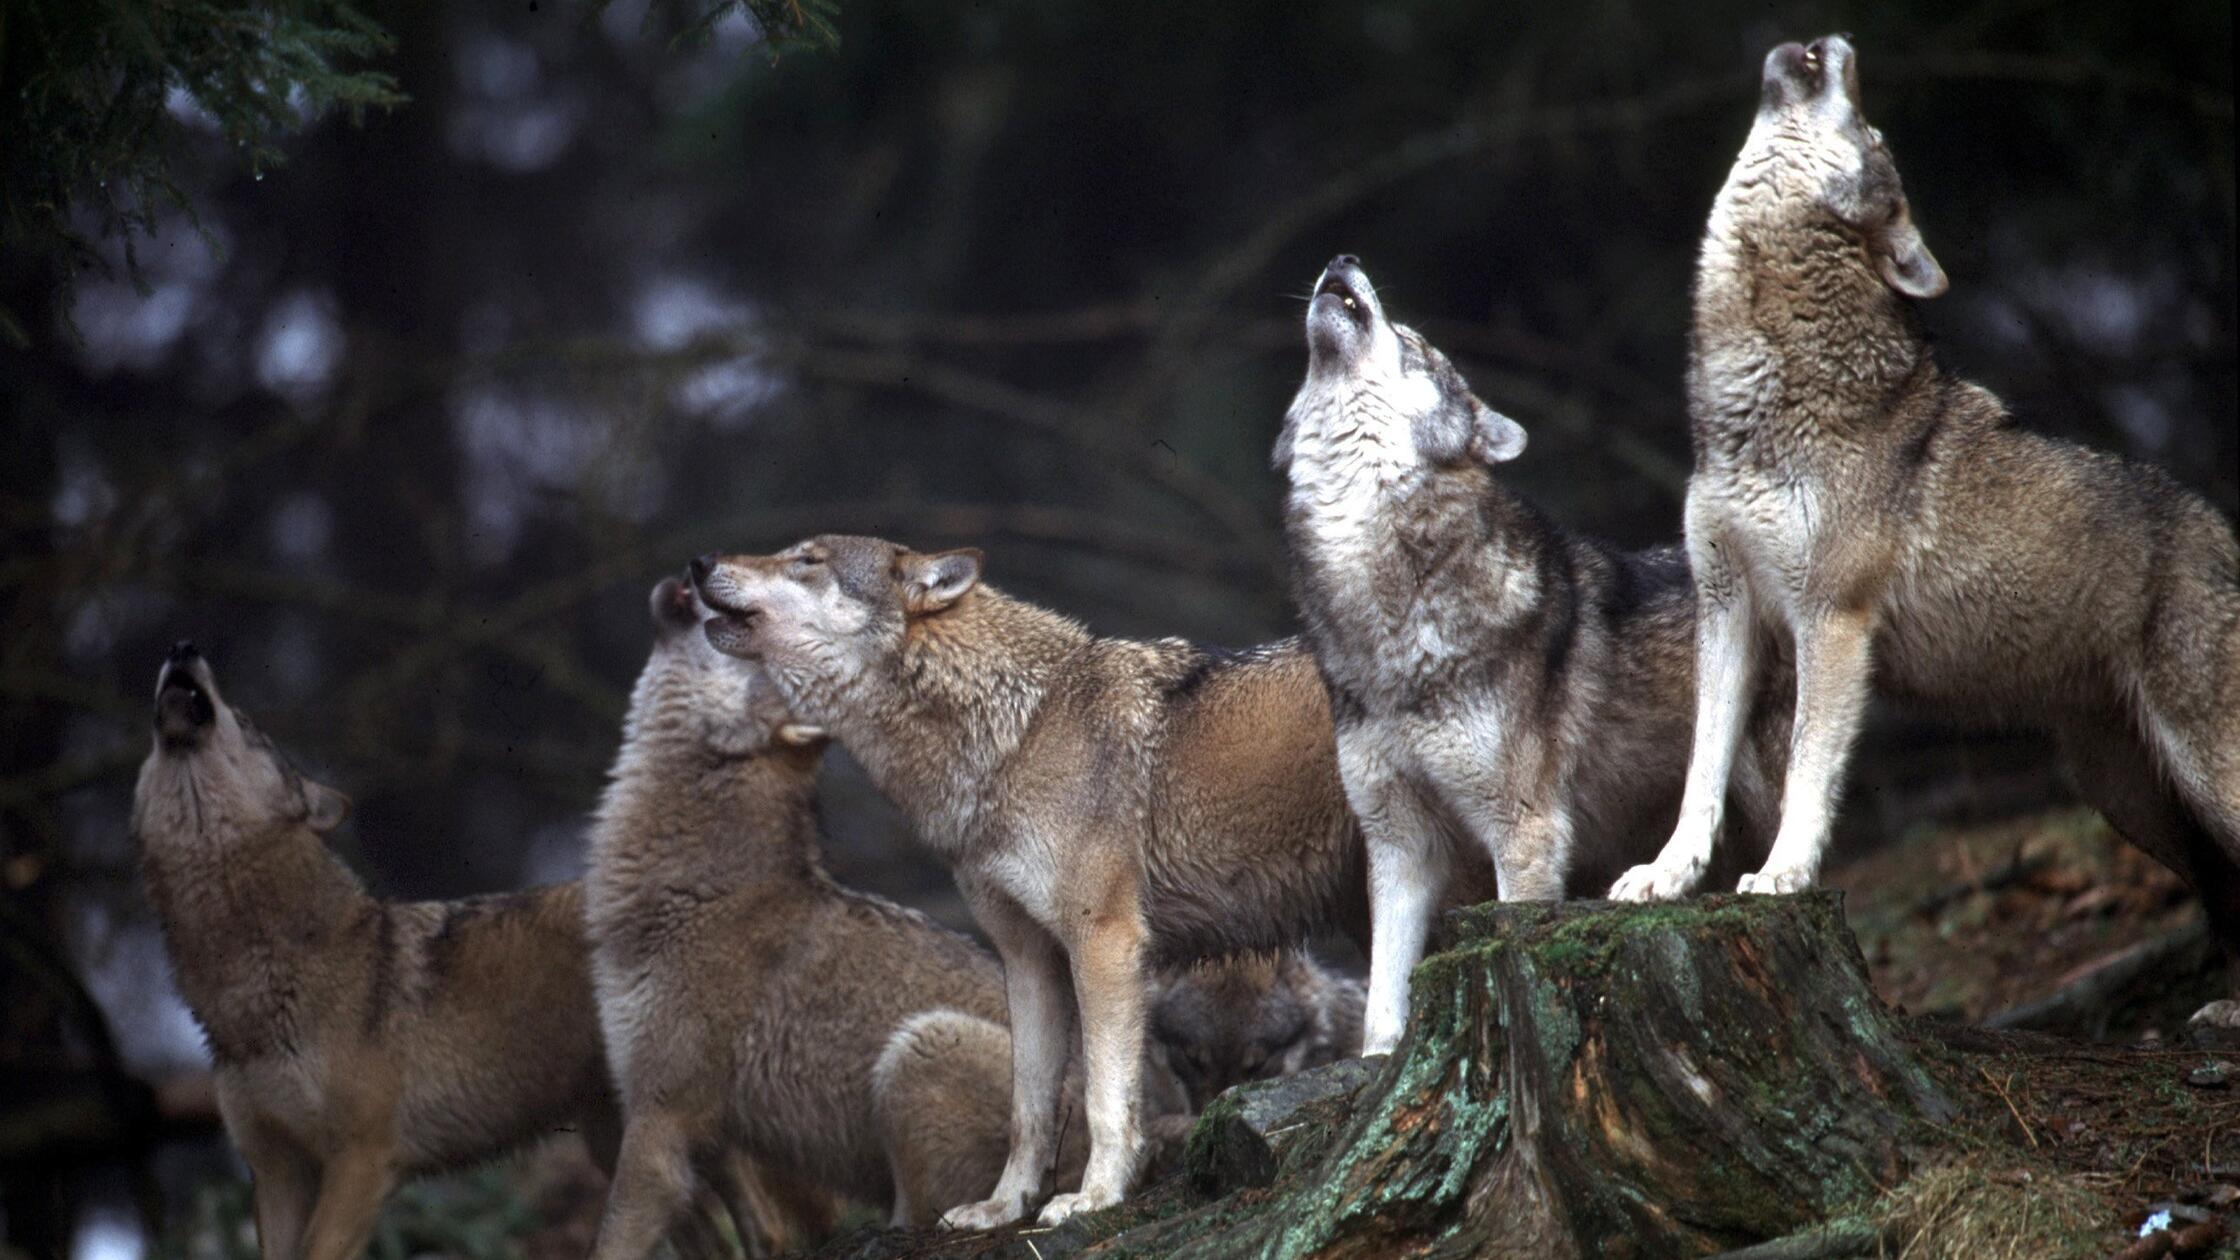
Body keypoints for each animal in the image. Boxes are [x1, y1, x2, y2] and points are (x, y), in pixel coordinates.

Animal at [127, 643, 798, 1260]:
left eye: (244, 722)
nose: (182, 647)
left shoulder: (363, 1161)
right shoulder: (276, 1174)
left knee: (767, 1227)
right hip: (616, 1144)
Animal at [583, 577, 1186, 1254]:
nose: (688, 580)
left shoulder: (659, 1119)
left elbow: (613, 1238)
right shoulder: (716, 1147)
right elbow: (760, 1233)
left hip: (919, 1046)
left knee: (919, 1208)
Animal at [690, 543, 1494, 1226]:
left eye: (807, 559)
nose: (697, 564)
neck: (1016, 732)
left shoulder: (1104, 942)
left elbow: (1108, 1097)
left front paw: (1094, 1197)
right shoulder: (1027, 957)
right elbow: (1031, 1106)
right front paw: (1004, 1207)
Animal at [1280, 256, 1791, 1051]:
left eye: (1411, 343)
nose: (1341, 261)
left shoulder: (1525, 831)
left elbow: (1512, 925)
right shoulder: (1399, 844)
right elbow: (1382, 1003)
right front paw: (1383, 1062)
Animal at [1607, 35, 2240, 1034]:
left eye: (1874, 132)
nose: (1835, 42)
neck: (1753, 405)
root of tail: (2219, 525)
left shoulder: (1832, 621)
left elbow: (1807, 770)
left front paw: (1783, 875)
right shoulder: (1725, 610)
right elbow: (1700, 770)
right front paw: (1667, 878)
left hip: (2202, 770)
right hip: (2126, 795)